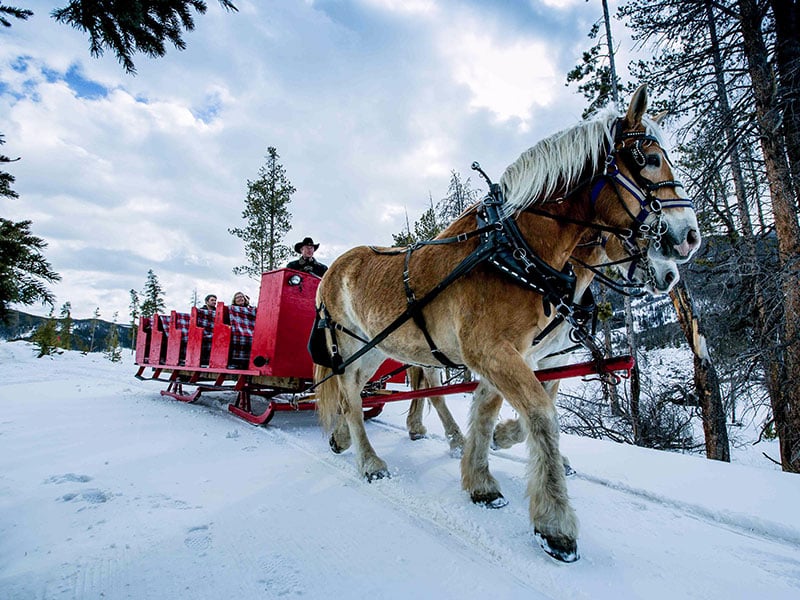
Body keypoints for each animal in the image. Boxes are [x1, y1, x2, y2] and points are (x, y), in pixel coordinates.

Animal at [312, 85, 700, 564]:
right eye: (648, 158)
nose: (688, 238)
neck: (517, 252)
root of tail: (331, 270)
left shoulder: (520, 352)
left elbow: (490, 407)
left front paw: (481, 472)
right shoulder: (494, 351)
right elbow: (541, 412)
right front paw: (554, 523)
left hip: (382, 349)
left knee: (384, 388)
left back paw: (368, 437)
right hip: (353, 347)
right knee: (350, 396)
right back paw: (369, 461)